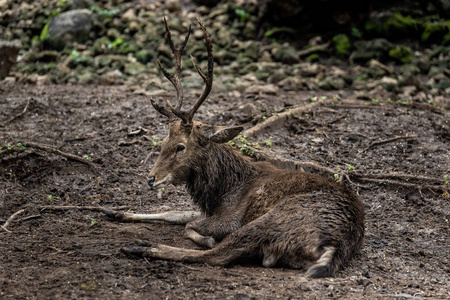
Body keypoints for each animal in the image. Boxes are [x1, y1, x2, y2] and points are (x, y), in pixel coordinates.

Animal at [105, 17, 366, 278]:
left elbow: (188, 225)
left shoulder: (230, 218)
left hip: (269, 220)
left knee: (217, 256)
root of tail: (334, 246)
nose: (150, 178)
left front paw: (206, 238)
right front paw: (114, 211)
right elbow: (174, 213)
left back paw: (143, 246)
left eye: (180, 147)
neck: (222, 189)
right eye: (163, 142)